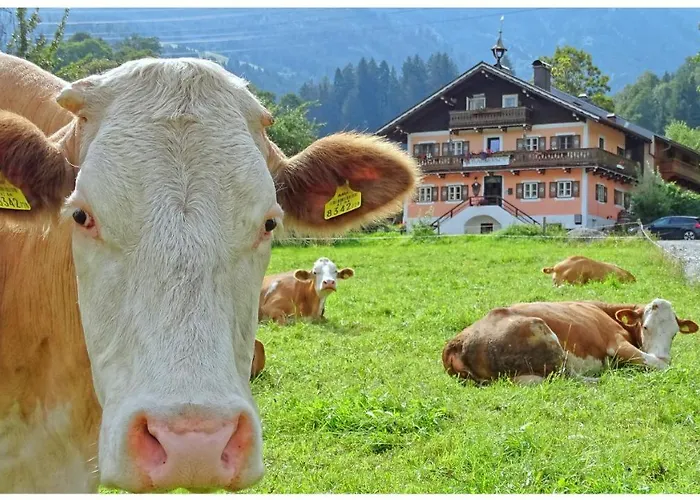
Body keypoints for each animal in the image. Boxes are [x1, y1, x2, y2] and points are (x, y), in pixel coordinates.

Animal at [440, 298, 696, 384]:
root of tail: (456, 343)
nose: (663, 354)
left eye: (674, 333)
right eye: (645, 327)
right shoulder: (617, 344)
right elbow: (658, 365)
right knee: (566, 376)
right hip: (543, 333)